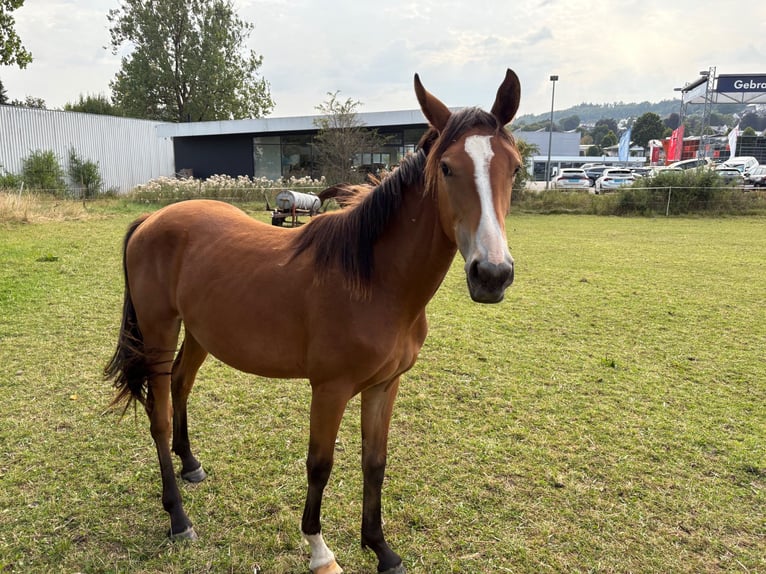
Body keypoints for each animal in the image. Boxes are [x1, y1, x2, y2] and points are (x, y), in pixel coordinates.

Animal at [104, 69, 521, 574]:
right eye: (446, 168)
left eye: (515, 168)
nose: (492, 275)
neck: (375, 280)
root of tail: (151, 218)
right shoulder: (330, 389)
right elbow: (319, 465)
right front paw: (320, 550)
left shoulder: (385, 386)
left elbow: (375, 463)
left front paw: (381, 549)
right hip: (159, 332)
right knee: (159, 415)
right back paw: (178, 518)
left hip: (200, 333)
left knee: (182, 386)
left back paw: (191, 465)